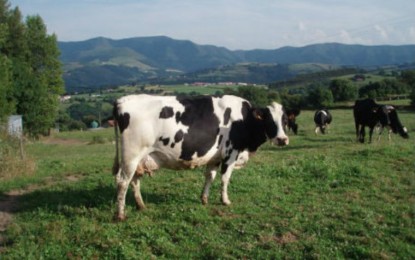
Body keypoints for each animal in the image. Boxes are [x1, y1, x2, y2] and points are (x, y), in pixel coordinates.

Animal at [113, 94, 290, 220]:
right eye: (269, 120)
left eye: (285, 120)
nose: (282, 139)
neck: (244, 120)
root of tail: (122, 100)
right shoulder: (230, 153)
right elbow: (225, 178)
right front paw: (225, 200)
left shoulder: (215, 157)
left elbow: (210, 177)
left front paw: (204, 199)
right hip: (131, 155)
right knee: (122, 182)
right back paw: (120, 214)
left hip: (140, 159)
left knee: (134, 180)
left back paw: (141, 205)